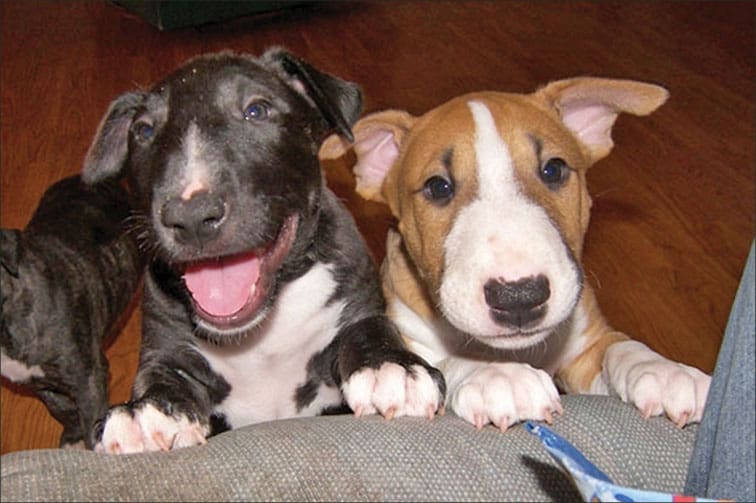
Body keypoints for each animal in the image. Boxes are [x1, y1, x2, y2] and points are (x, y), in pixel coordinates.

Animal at [83, 48, 446, 456]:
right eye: (143, 131)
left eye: (257, 110)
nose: (191, 216)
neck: (261, 336)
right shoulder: (169, 345)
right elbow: (160, 374)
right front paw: (145, 411)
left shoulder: (355, 304)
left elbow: (370, 329)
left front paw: (394, 369)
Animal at [322, 79, 712, 434]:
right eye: (438, 187)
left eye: (554, 169)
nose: (519, 297)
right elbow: (447, 361)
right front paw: (498, 375)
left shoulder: (583, 350)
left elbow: (618, 347)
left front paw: (665, 372)